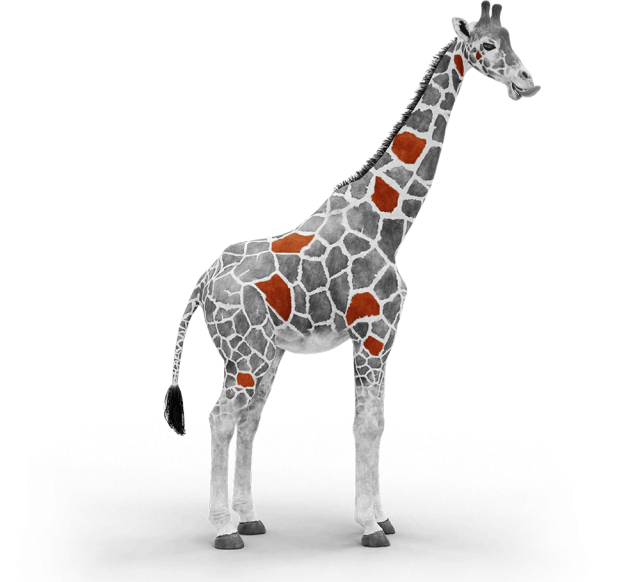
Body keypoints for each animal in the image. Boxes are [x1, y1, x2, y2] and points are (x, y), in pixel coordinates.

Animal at [165, 1, 540, 549]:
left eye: (512, 37)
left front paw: (382, 515)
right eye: (487, 45)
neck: (390, 224)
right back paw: (224, 528)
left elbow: (379, 422)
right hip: (244, 350)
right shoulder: (370, 333)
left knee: (249, 419)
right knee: (221, 416)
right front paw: (367, 524)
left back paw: (249, 517)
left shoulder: (387, 339)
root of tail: (204, 281)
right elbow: (363, 425)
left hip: (265, 352)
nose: (528, 81)